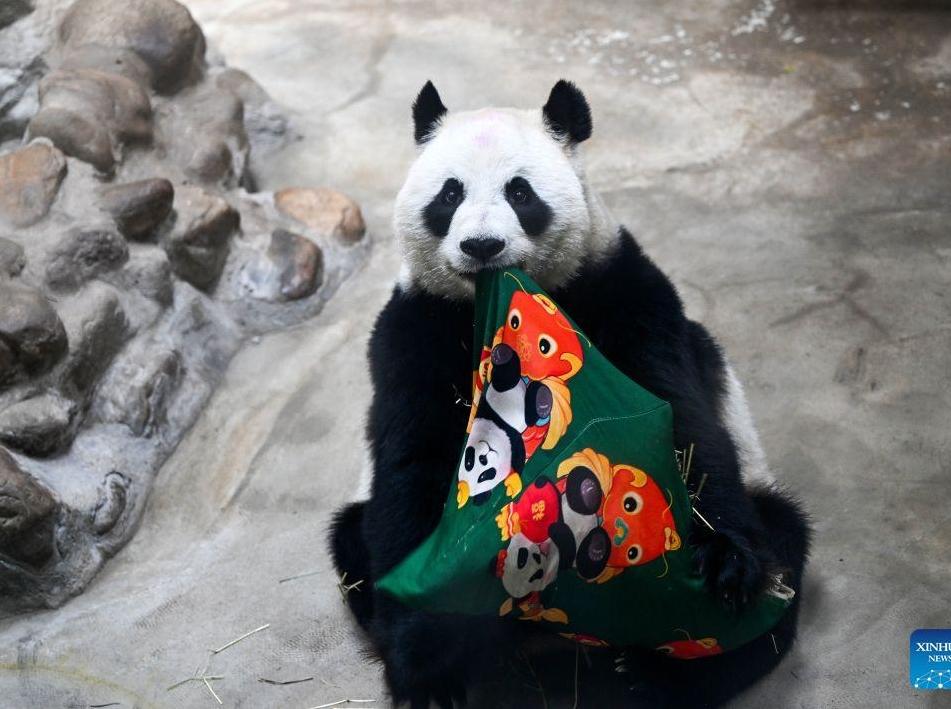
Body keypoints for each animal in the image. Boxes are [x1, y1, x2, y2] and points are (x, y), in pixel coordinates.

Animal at [458, 343, 553, 507]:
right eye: (484, 476)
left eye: (469, 461)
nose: (483, 457)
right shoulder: (508, 436)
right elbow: (518, 453)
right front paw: (511, 483)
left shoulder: (498, 428)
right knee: (528, 413)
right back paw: (541, 399)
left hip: (500, 387)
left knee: (505, 378)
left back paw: (501, 355)